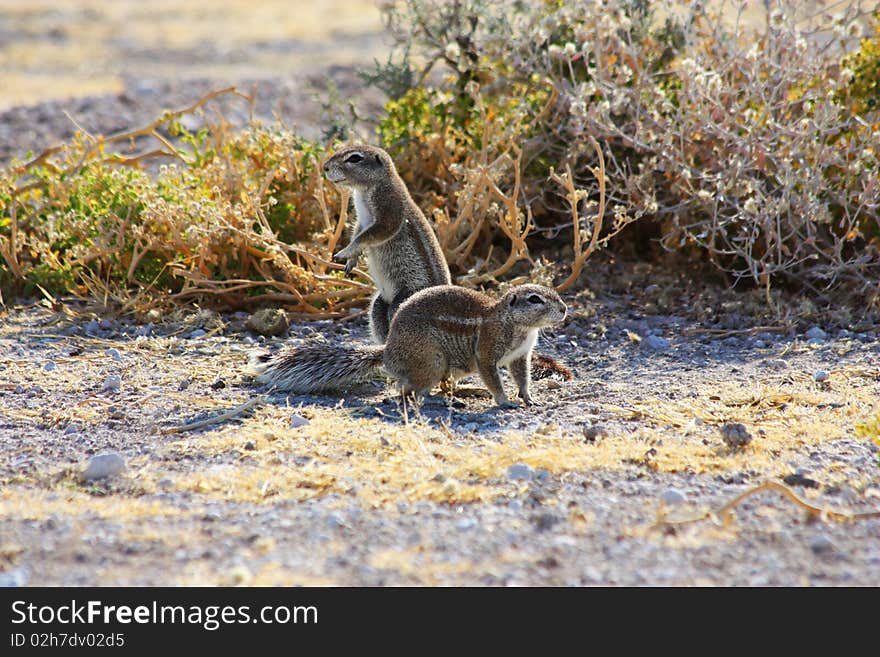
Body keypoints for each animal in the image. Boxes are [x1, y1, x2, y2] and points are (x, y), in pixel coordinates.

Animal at [251, 284, 568, 408]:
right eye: (535, 299)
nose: (565, 309)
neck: (518, 325)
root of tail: (387, 352)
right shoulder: (487, 351)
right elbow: (492, 378)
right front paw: (504, 401)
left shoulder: (520, 356)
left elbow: (522, 377)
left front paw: (529, 398)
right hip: (432, 361)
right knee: (411, 391)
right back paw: (438, 400)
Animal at [324, 144, 450, 344]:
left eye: (354, 158)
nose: (325, 167)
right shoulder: (361, 221)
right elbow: (358, 233)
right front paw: (351, 260)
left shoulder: (389, 208)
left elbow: (371, 234)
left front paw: (345, 252)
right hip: (378, 304)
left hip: (405, 298)